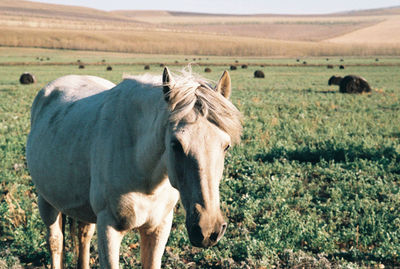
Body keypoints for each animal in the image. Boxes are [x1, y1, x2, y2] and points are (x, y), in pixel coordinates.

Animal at [28, 67, 242, 268]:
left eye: (226, 146)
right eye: (175, 144)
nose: (207, 230)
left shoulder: (159, 228)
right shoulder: (109, 228)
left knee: (84, 236)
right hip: (46, 201)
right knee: (56, 242)